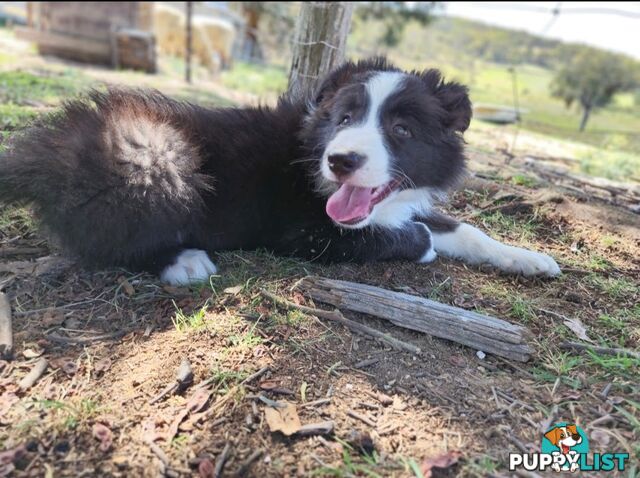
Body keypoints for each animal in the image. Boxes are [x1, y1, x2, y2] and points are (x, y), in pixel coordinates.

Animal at [0, 58, 556, 286]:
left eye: (401, 130)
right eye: (344, 118)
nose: (341, 161)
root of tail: (48, 148)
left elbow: (463, 228)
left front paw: (530, 259)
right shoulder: (305, 232)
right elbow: (406, 237)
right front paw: (421, 244)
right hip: (154, 154)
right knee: (109, 239)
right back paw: (183, 262)